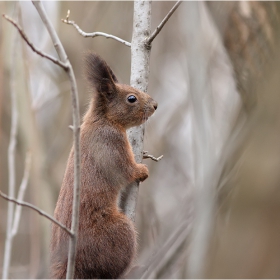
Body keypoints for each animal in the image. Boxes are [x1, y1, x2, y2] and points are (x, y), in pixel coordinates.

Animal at [49, 52, 158, 278]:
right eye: (131, 98)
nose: (155, 105)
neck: (103, 119)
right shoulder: (111, 144)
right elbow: (126, 170)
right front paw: (141, 170)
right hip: (118, 233)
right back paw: (133, 270)